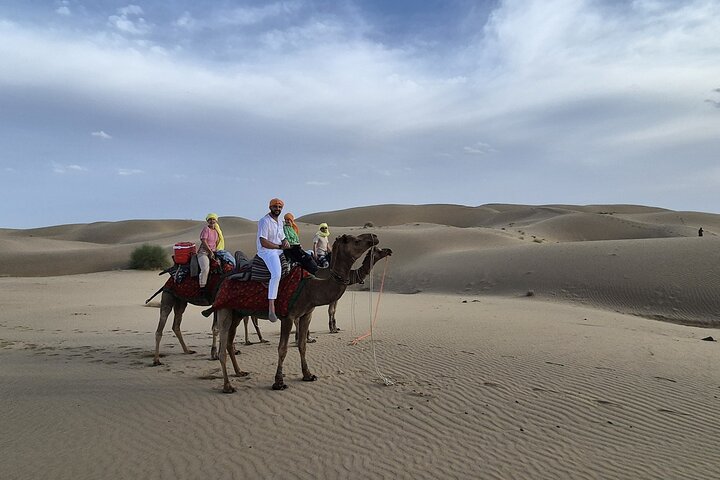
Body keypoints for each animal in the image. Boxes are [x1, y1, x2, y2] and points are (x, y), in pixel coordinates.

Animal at [207, 233, 391, 393]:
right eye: (354, 240)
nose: (374, 237)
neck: (312, 287)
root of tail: (222, 282)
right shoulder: (287, 317)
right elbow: (282, 349)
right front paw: (279, 382)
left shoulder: (306, 315)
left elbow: (302, 345)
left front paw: (308, 375)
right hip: (224, 311)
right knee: (223, 346)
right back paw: (228, 386)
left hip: (237, 314)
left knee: (230, 343)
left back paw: (240, 372)